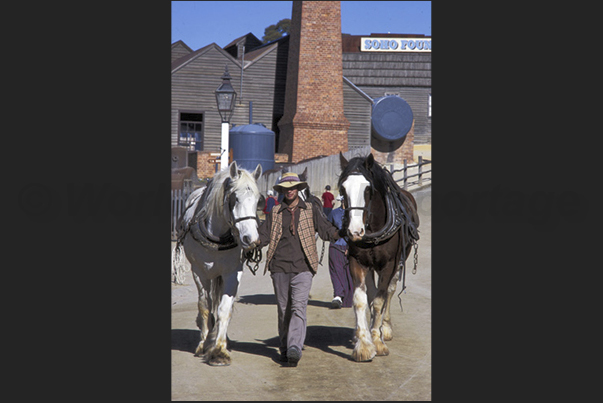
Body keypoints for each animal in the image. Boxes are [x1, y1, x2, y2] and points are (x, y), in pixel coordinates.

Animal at [340, 153, 420, 362]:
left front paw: (377, 341)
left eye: (368, 189)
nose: (355, 231)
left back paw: (386, 328)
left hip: (399, 263)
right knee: (371, 292)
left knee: (389, 292)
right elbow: (361, 299)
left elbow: (379, 301)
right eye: (343, 188)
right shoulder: (357, 262)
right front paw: (363, 344)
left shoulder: (389, 265)